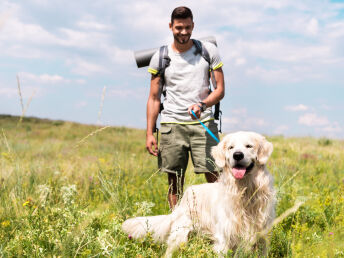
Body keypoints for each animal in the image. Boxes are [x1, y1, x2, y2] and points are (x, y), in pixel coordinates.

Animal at [122, 132, 276, 256]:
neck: (245, 191)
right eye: (231, 147)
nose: (237, 155)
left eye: (249, 146)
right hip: (180, 234)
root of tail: (186, 195)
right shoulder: (224, 237)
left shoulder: (262, 236)